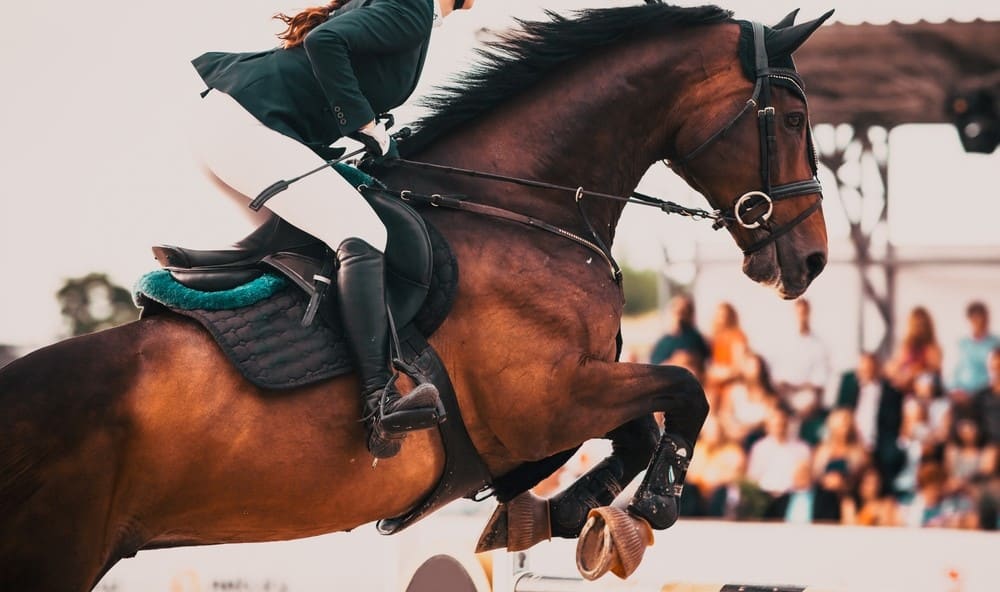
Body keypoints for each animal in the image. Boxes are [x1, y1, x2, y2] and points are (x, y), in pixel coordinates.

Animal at [0, 5, 831, 591]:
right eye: (793, 119)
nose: (813, 260)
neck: (520, 210)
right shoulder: (546, 401)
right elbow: (686, 388)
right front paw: (653, 502)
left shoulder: (571, 395)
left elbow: (637, 426)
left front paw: (557, 513)